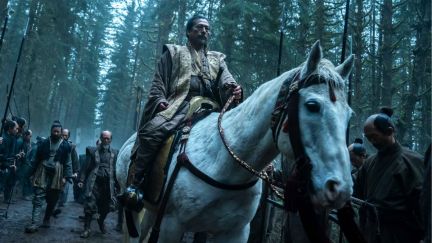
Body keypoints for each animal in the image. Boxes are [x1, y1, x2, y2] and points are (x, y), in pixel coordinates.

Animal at [117, 40, 354, 242]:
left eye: (349, 115)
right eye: (312, 105)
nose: (339, 188)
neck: (226, 165)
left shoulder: (235, 232)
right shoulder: (171, 226)